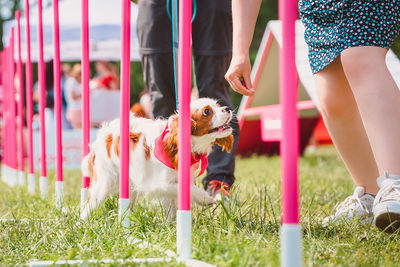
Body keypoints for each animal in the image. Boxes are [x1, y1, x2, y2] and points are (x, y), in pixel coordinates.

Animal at [79, 97, 233, 221]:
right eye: (206, 112)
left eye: (217, 105)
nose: (227, 108)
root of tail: (101, 136)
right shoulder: (157, 184)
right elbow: (189, 190)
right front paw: (205, 198)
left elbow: (172, 206)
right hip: (105, 184)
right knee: (88, 205)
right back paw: (81, 224)